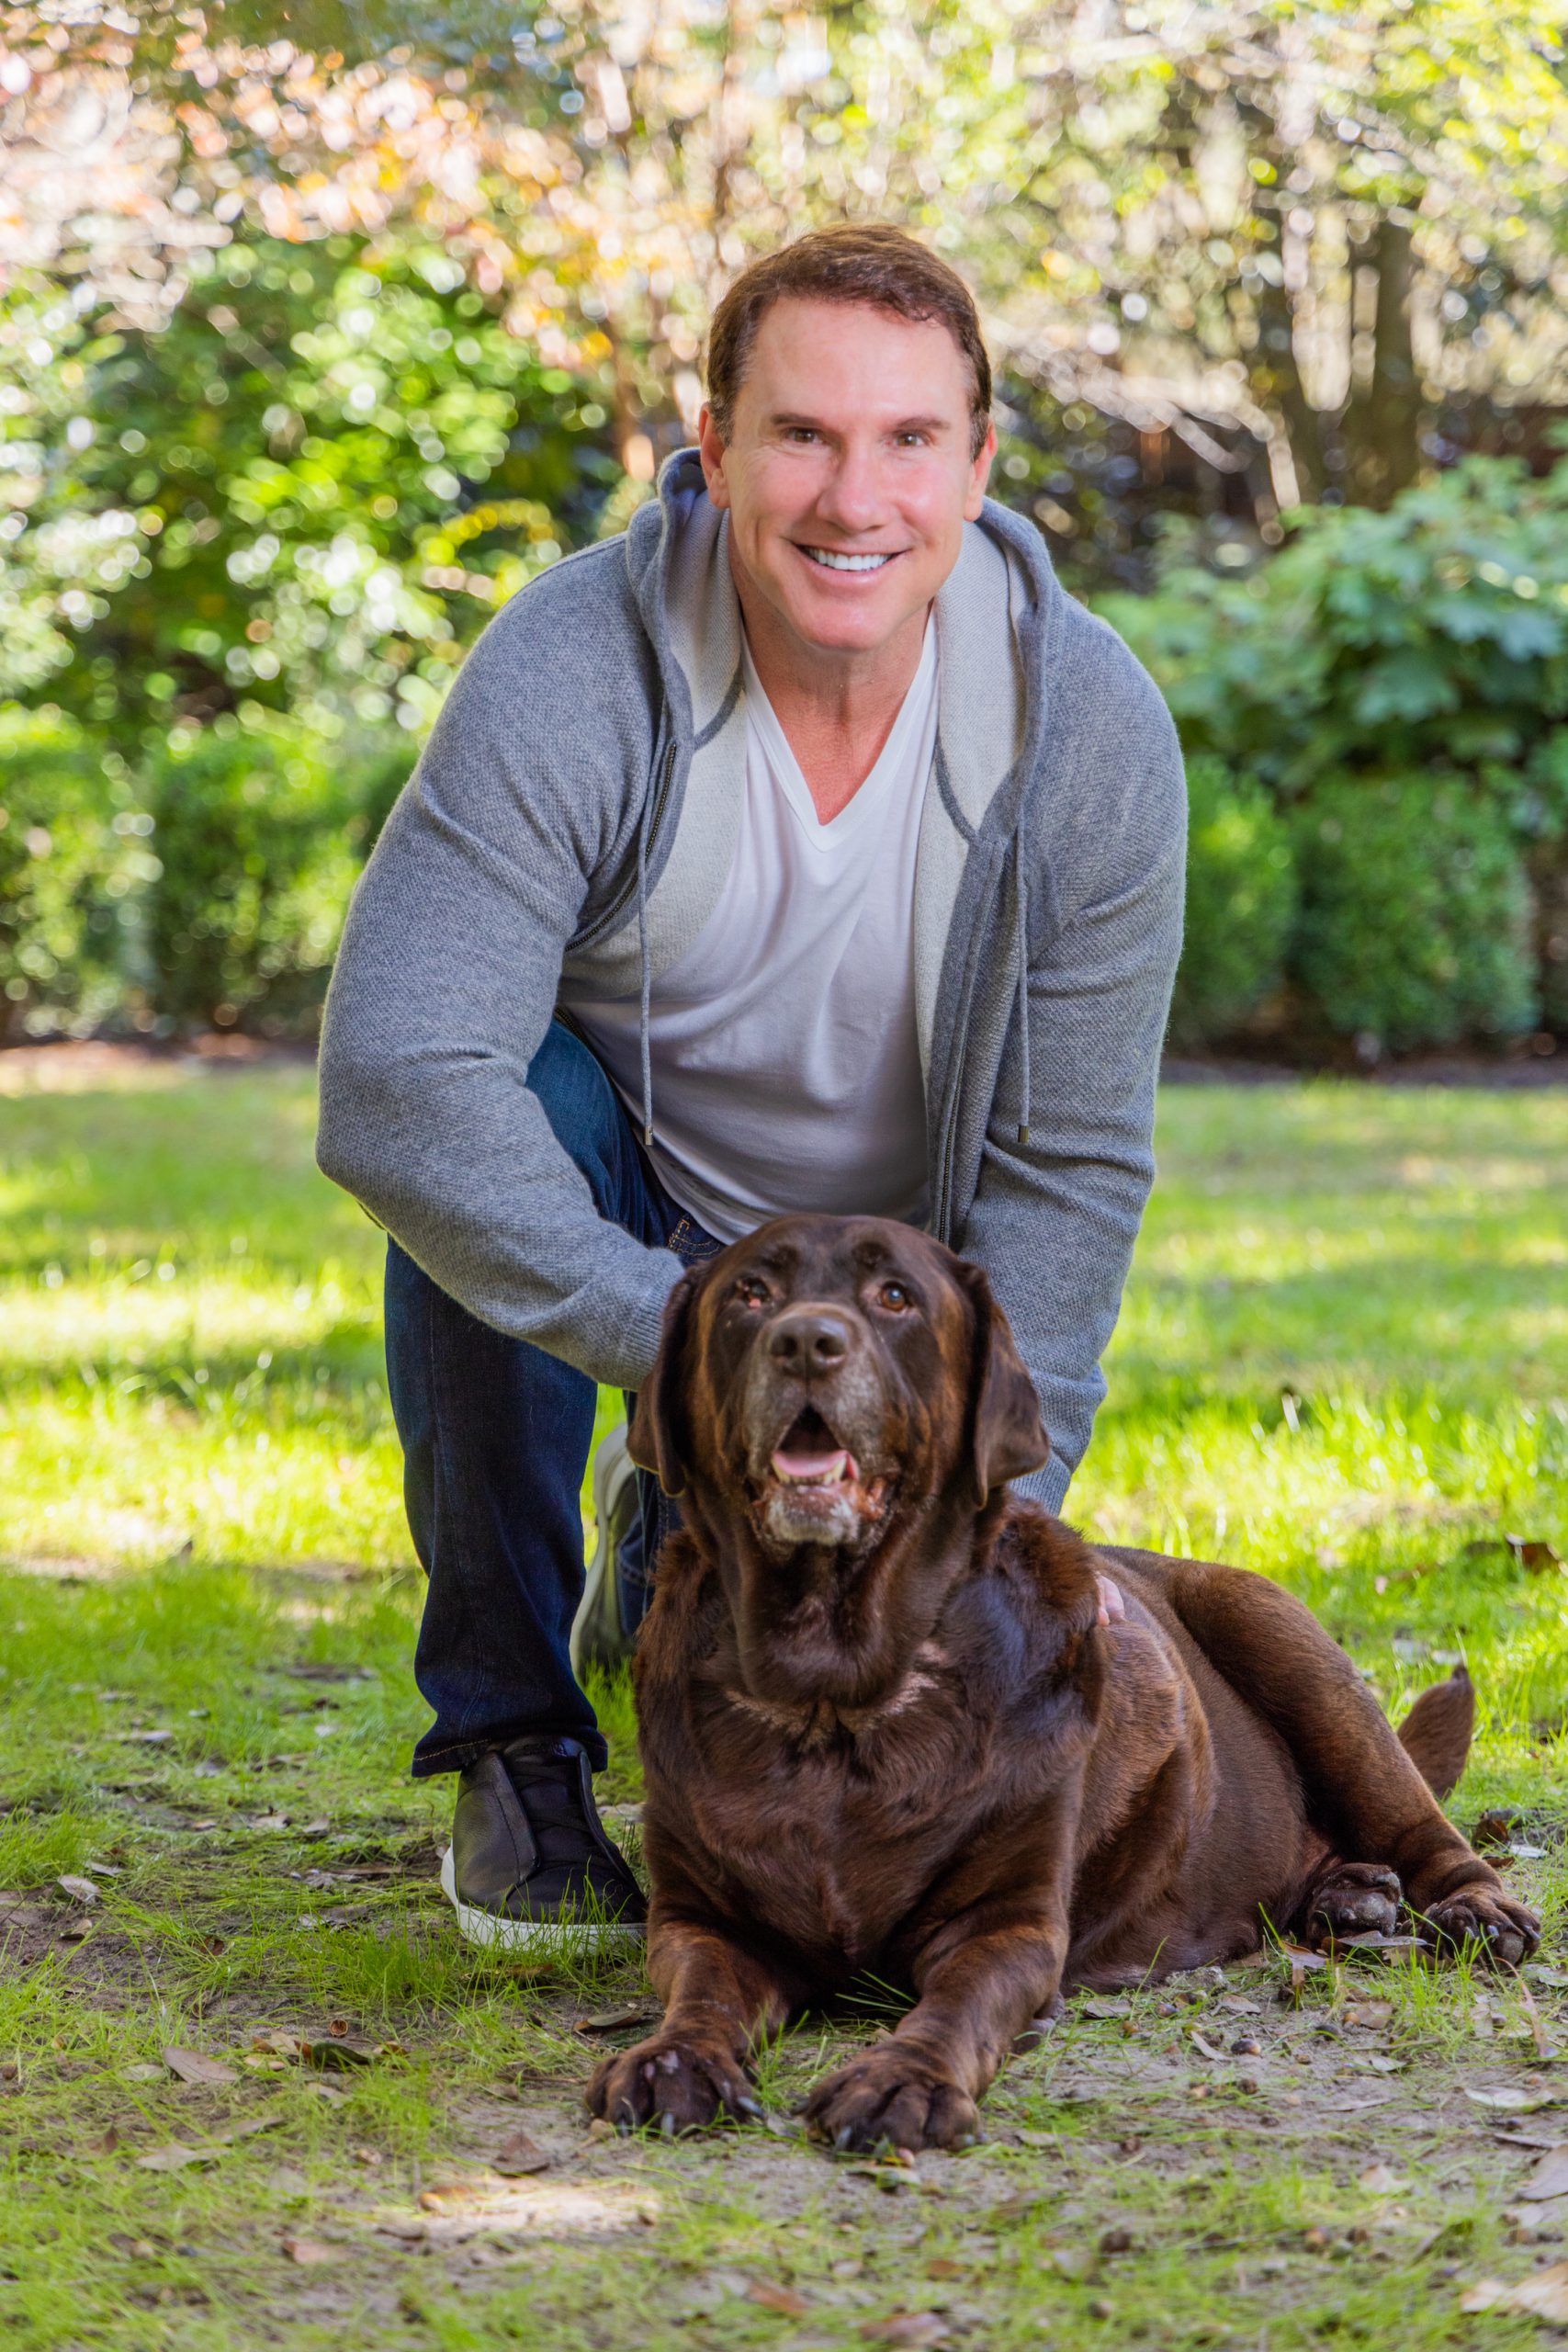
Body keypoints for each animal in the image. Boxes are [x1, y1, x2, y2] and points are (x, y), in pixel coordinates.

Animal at [585, 1213, 1532, 2154]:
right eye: (750, 1293)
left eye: (893, 1295)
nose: (806, 1342)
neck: (835, 1697)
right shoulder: (704, 1921)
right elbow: (700, 1996)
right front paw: (673, 2061)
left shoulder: (1007, 1924)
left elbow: (952, 2011)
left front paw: (904, 2080)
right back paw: (1350, 1897)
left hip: (1281, 1641)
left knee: (1423, 1829)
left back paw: (1469, 1911)